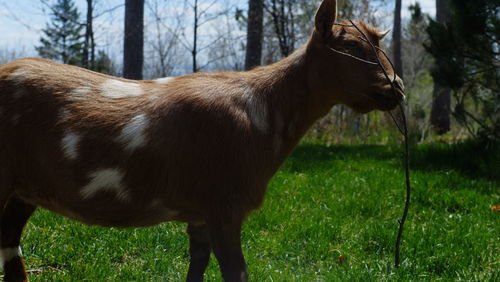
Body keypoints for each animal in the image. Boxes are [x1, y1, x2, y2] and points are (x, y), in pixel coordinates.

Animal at [0, 1, 402, 280]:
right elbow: (236, 272)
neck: (263, 109)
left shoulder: (200, 214)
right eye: (351, 49)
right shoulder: (225, 205)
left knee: (11, 247)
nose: (396, 88)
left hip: (25, 191)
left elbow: (197, 269)